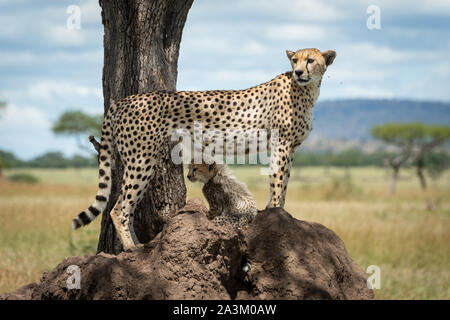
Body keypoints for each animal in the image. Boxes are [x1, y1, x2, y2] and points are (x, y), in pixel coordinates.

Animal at [73, 47, 334, 250]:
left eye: (310, 60)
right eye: (295, 60)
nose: (298, 72)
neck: (307, 90)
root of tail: (124, 100)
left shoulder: (290, 148)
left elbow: (285, 182)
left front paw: (280, 213)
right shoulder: (282, 144)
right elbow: (278, 182)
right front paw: (275, 212)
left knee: (125, 205)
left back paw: (139, 245)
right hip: (141, 159)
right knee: (118, 208)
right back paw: (129, 248)